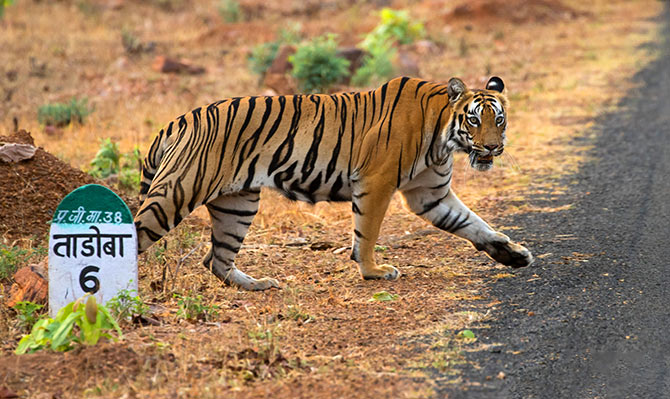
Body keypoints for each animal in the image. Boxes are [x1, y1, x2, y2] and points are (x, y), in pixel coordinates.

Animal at [135, 76, 536, 292]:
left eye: (499, 119)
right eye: (473, 120)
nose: (492, 147)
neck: (443, 138)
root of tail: (180, 119)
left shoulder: (429, 195)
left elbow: (474, 223)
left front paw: (512, 254)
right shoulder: (376, 182)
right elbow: (367, 232)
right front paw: (373, 271)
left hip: (238, 203)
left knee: (216, 259)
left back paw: (259, 284)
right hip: (175, 193)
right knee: (136, 234)